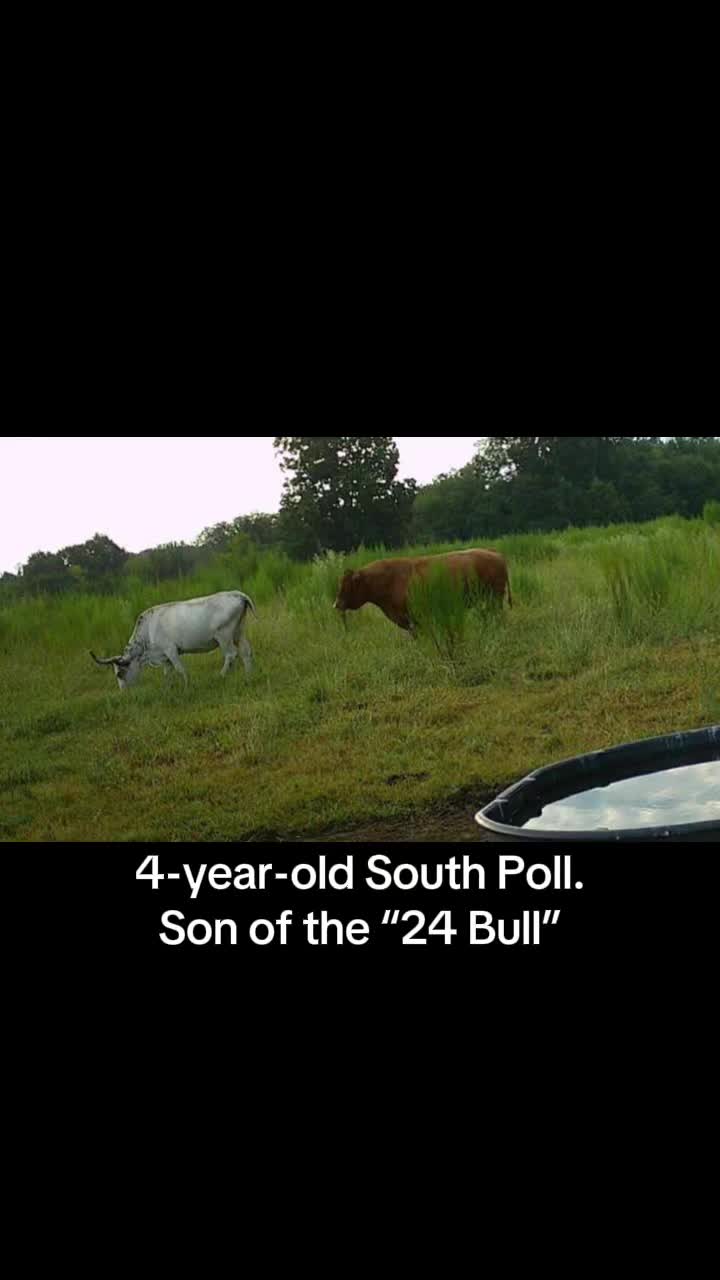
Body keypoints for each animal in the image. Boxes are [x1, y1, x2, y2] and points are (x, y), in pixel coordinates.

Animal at [91, 590, 256, 690]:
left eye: (119, 674)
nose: (123, 692)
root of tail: (237, 594)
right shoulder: (164, 656)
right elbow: (167, 673)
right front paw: (167, 689)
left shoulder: (171, 650)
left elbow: (180, 669)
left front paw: (187, 686)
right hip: (238, 633)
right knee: (246, 652)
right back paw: (248, 677)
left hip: (224, 636)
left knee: (231, 655)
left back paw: (220, 676)